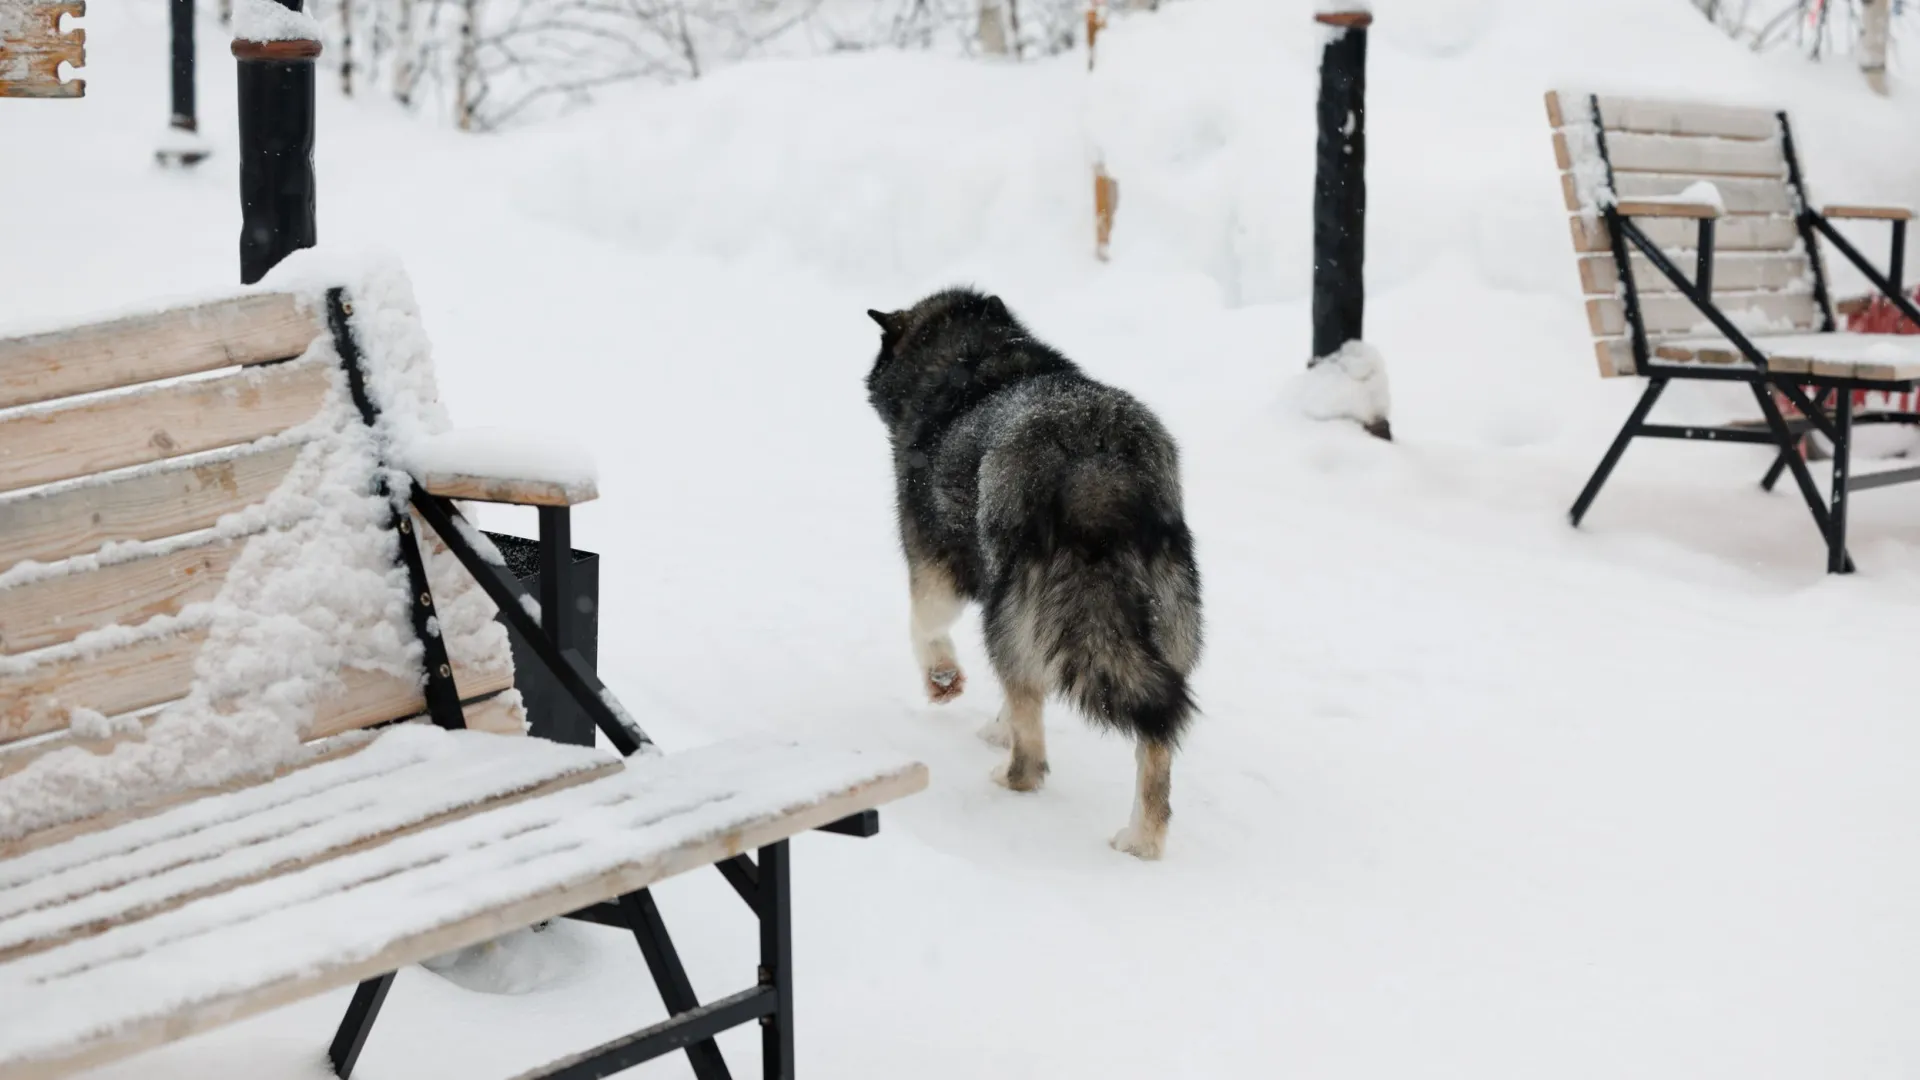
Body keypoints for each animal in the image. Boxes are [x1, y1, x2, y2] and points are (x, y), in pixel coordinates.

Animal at [867, 288, 1198, 857]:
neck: (973, 358)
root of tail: (1095, 457)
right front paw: (994, 724)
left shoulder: (934, 568)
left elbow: (923, 627)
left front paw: (943, 681)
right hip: (1160, 631)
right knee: (1154, 743)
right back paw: (1141, 841)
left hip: (1006, 618)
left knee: (1034, 758)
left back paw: (1009, 778)